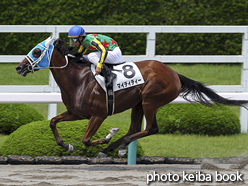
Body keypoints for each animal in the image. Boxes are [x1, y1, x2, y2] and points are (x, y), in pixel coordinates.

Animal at [15, 37, 248, 158]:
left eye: (36, 52)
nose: (19, 67)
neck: (78, 79)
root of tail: (174, 73)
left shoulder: (98, 115)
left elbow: (87, 139)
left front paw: (107, 136)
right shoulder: (76, 112)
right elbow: (53, 122)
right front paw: (66, 146)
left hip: (150, 99)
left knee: (151, 128)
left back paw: (117, 146)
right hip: (138, 104)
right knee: (135, 128)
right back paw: (114, 148)